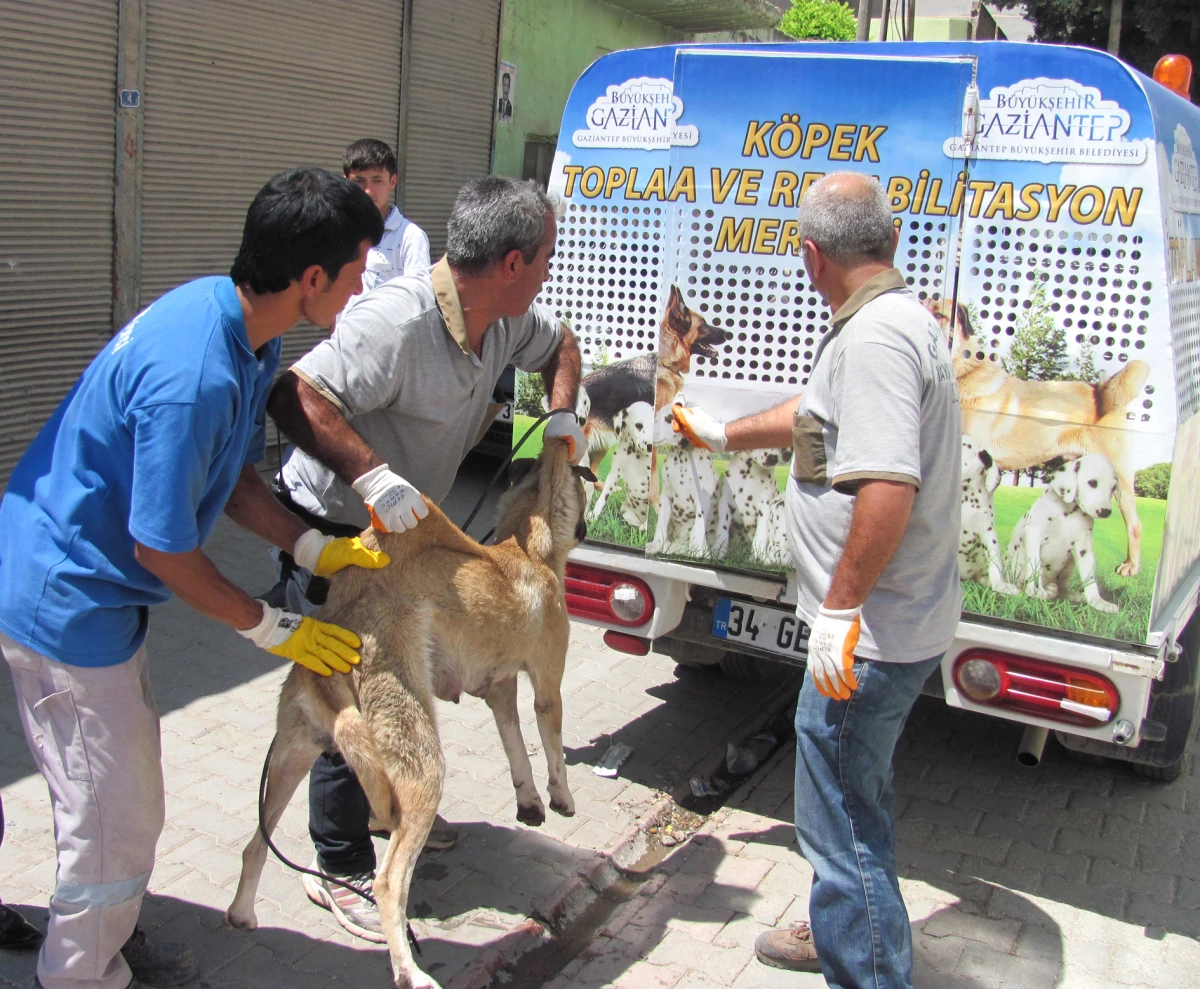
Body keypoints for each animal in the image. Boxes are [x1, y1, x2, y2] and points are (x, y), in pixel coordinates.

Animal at [224, 441, 590, 989]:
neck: (526, 549)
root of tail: (342, 624)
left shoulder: (499, 691)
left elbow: (514, 749)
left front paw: (529, 802)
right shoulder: (547, 684)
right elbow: (551, 748)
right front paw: (561, 799)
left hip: (293, 756)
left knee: (255, 844)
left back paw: (242, 913)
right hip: (421, 769)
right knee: (388, 881)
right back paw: (409, 970)